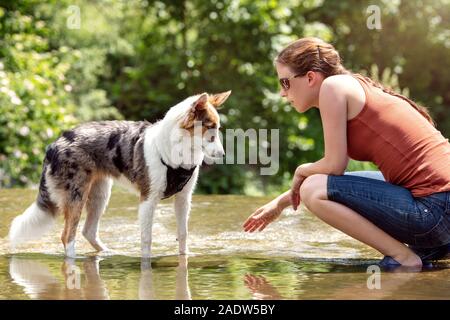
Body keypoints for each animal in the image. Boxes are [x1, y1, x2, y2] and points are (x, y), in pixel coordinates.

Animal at [8, 90, 230, 258]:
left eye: (218, 128)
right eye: (210, 129)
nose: (222, 155)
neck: (177, 150)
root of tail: (55, 143)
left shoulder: (183, 198)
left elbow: (183, 233)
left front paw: (185, 257)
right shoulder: (148, 200)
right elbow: (146, 238)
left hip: (100, 194)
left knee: (88, 231)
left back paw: (107, 253)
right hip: (77, 196)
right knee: (67, 236)